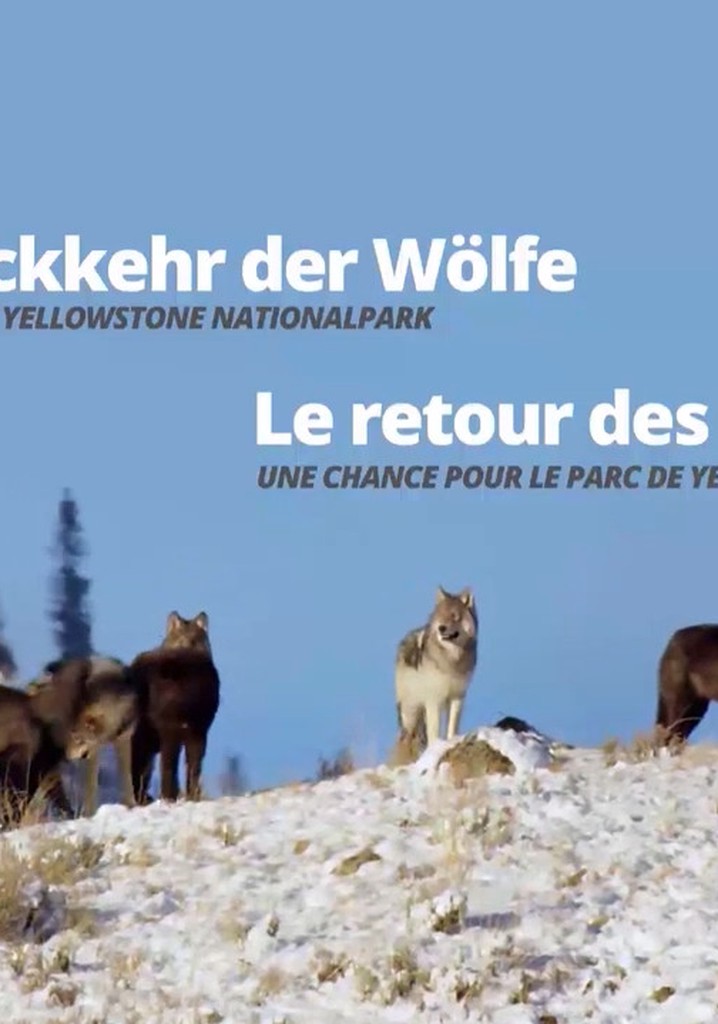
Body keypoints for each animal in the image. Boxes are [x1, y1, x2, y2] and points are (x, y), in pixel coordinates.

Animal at [27, 656, 138, 815]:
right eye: (71, 737)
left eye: (77, 738)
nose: (66, 756)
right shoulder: (93, 750)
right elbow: (91, 786)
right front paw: (89, 814)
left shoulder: (123, 740)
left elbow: (126, 778)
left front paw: (131, 805)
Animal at [393, 586, 478, 753]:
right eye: (440, 616)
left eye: (454, 616)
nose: (441, 628)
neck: (452, 660)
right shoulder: (434, 699)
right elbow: (434, 732)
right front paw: (435, 748)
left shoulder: (457, 697)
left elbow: (452, 727)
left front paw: (451, 742)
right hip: (411, 711)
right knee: (406, 738)